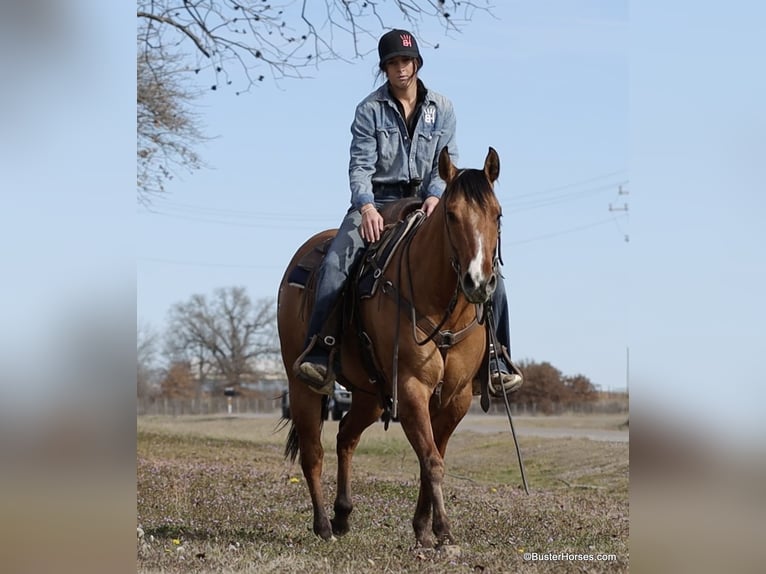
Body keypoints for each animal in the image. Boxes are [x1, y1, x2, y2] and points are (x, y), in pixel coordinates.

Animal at [277, 146, 503, 547]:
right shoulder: (411, 389)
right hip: (301, 384)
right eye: (451, 214)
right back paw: (322, 526)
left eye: (498, 214)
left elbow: (432, 457)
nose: (478, 281)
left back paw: (342, 515)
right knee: (312, 452)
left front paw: (423, 528)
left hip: (370, 394)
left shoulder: (456, 397)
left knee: (346, 436)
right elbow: (431, 460)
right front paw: (442, 530)